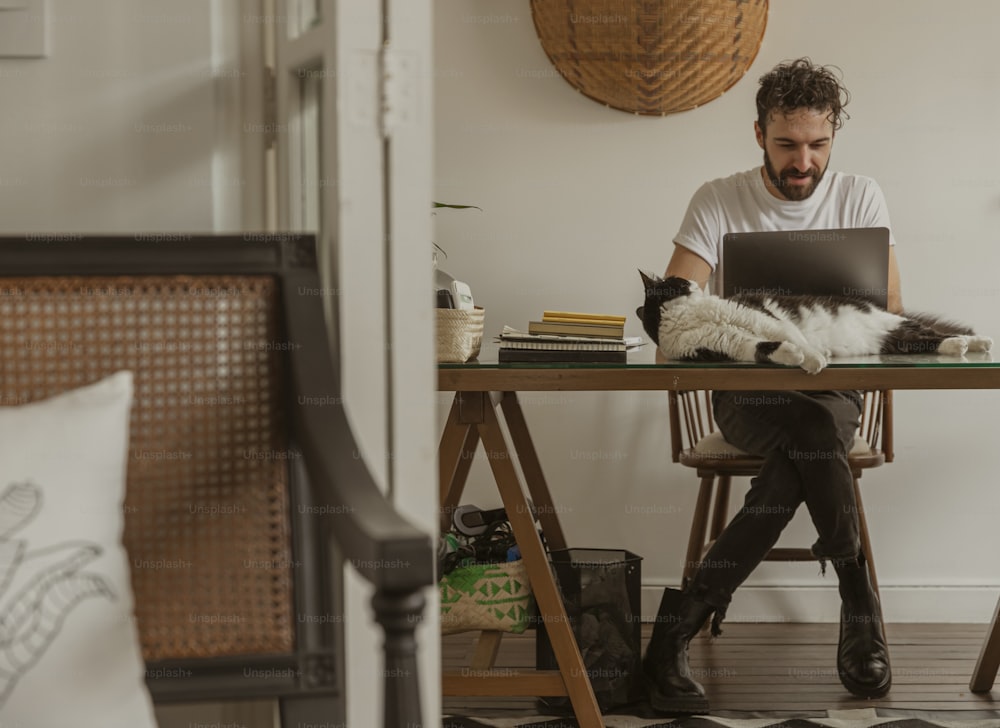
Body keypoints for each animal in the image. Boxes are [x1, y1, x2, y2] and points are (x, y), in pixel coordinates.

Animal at [636, 272, 988, 376]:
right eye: (678, 280)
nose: (696, 281)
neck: (689, 315)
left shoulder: (758, 317)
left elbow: (789, 334)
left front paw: (816, 358)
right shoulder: (727, 345)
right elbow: (766, 349)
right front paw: (795, 357)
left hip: (893, 323)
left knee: (936, 331)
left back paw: (978, 342)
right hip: (898, 340)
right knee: (930, 338)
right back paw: (963, 346)